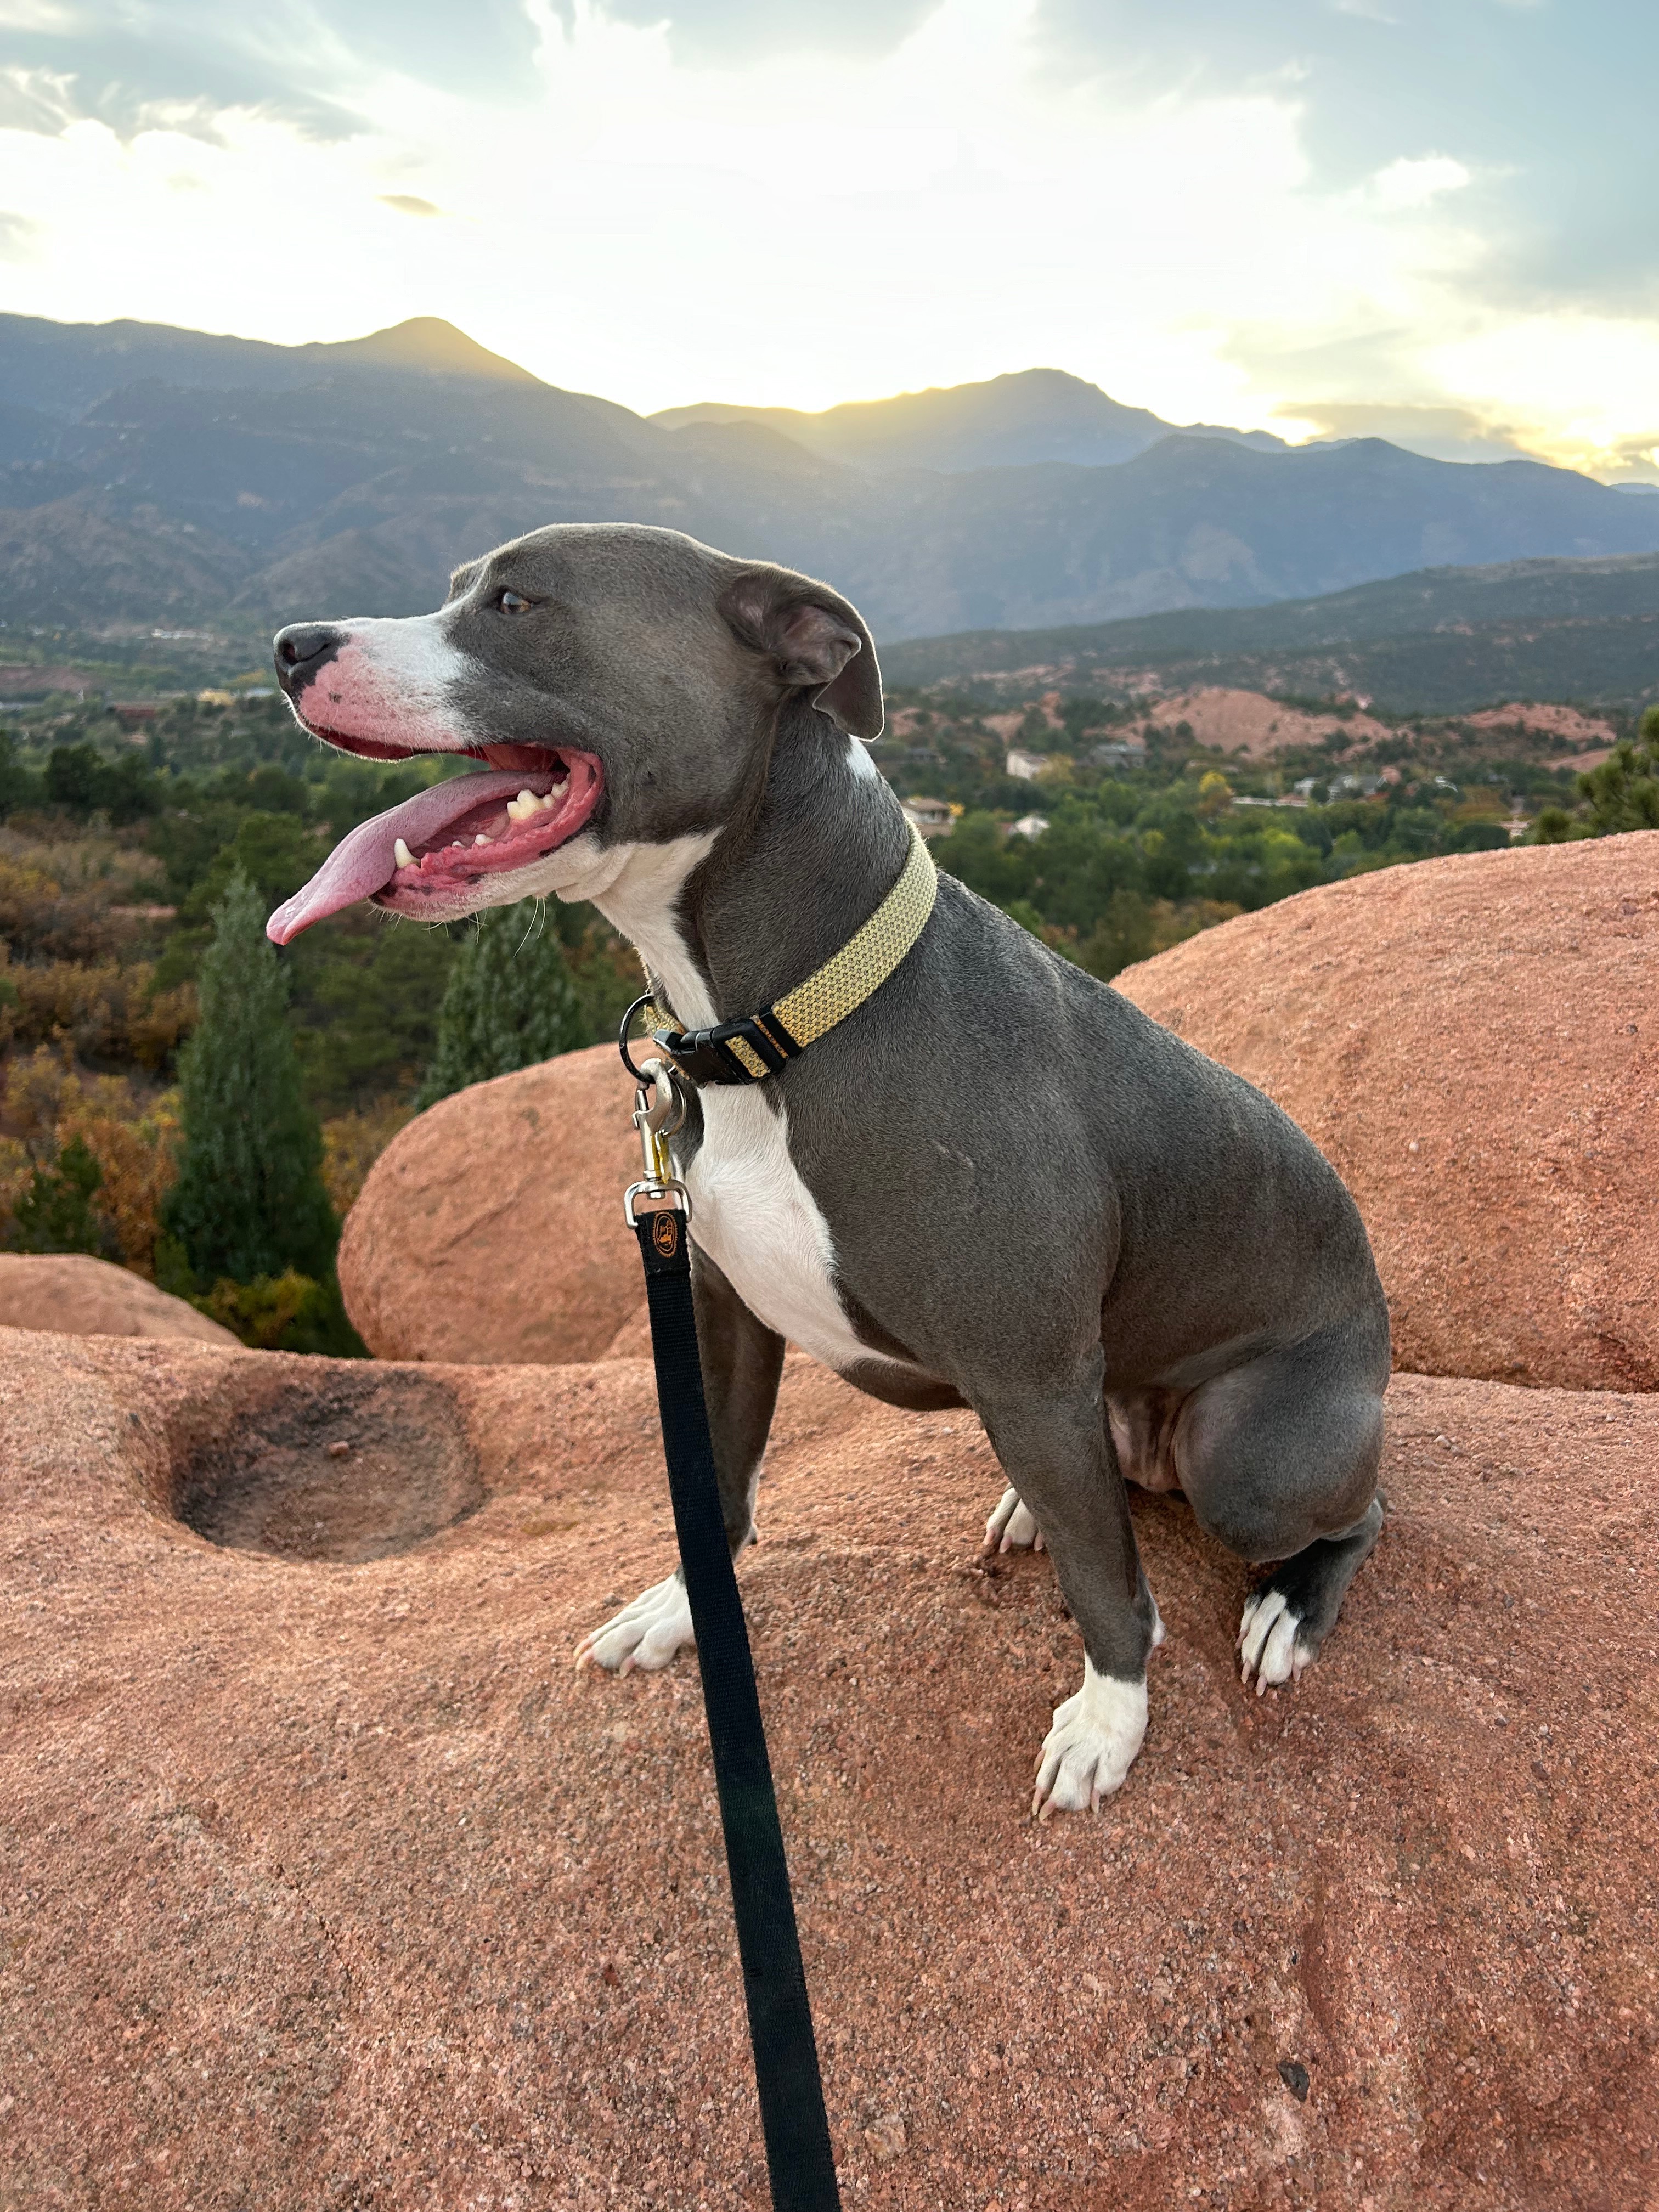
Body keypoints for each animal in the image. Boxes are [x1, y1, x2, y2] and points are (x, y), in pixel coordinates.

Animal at [268, 523, 1390, 1817]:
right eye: (459, 587)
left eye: (514, 601)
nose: (291, 644)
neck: (780, 1026)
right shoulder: (719, 1312)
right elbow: (717, 1487)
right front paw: (678, 1613)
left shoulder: (1028, 1370)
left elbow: (1110, 1592)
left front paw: (1109, 1722)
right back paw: (1030, 1507)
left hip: (1245, 1458)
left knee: (1344, 1508)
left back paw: (1284, 1613)